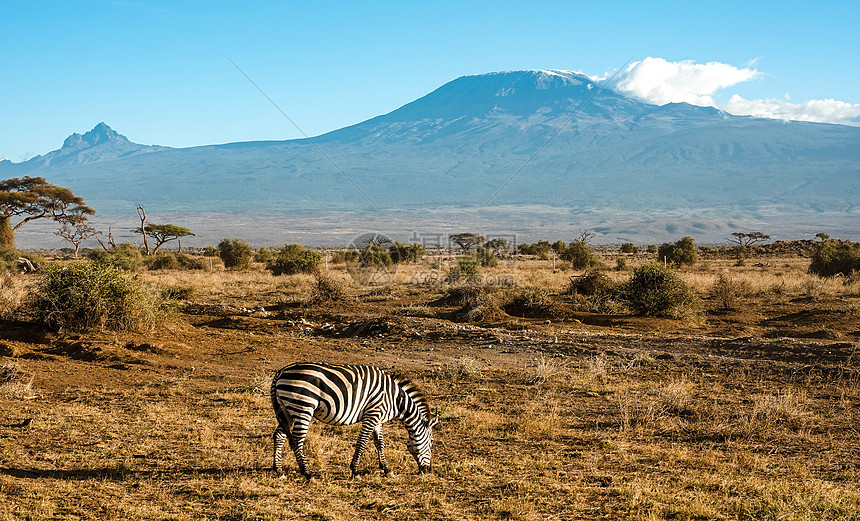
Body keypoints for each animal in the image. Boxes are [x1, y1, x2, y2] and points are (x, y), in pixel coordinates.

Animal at [272, 362, 440, 476]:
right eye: (431, 441)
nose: (428, 470)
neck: (396, 399)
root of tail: (281, 372)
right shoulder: (372, 414)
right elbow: (362, 441)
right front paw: (355, 470)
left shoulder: (378, 418)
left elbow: (380, 443)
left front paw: (386, 469)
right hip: (303, 407)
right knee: (297, 440)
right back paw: (306, 473)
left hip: (287, 410)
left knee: (279, 435)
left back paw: (278, 469)